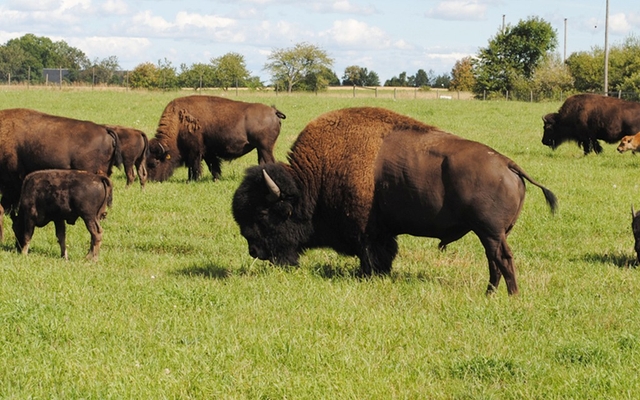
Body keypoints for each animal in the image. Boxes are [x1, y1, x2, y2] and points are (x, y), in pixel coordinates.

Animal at [146, 94, 286, 182]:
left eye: (154, 163)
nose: (151, 180)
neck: (178, 123)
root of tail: (273, 111)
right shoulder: (208, 152)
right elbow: (213, 166)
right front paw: (215, 178)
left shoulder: (195, 151)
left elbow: (194, 166)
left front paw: (192, 180)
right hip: (260, 148)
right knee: (263, 163)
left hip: (265, 148)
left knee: (270, 162)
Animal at [232, 108, 556, 296]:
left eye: (264, 214)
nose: (254, 251)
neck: (315, 177)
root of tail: (508, 164)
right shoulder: (382, 233)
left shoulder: (366, 233)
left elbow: (371, 255)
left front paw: (367, 276)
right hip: (491, 233)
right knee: (495, 260)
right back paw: (491, 294)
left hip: (489, 232)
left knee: (502, 259)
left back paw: (508, 295)